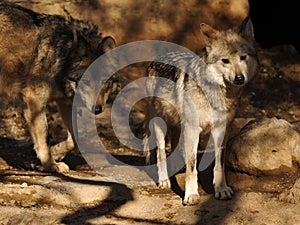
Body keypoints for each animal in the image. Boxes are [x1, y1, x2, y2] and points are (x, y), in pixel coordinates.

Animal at [0, 1, 116, 173]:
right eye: (86, 81)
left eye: (103, 81)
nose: (97, 109)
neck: (63, 57)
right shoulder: (35, 99)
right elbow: (44, 136)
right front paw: (50, 164)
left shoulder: (66, 103)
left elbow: (74, 139)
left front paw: (56, 152)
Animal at [144, 16, 258, 205]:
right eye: (225, 61)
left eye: (243, 57)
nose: (239, 78)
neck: (218, 93)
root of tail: (158, 58)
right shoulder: (193, 129)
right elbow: (192, 167)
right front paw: (191, 195)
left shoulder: (221, 129)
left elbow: (219, 164)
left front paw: (221, 189)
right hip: (160, 126)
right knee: (161, 153)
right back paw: (165, 181)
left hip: (177, 127)